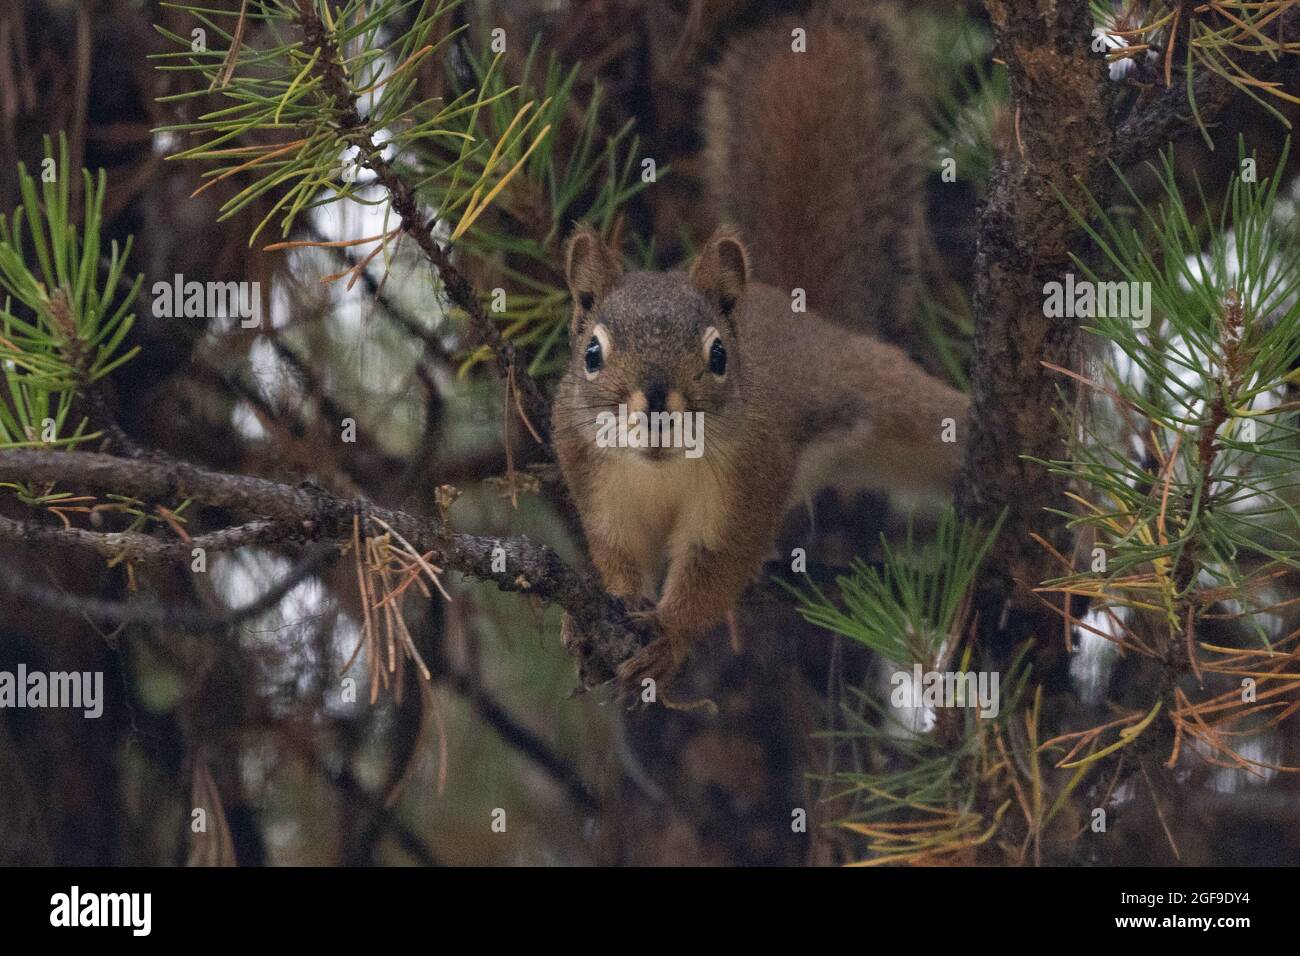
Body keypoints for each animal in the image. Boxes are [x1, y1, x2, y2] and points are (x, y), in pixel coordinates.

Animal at [546, 0, 967, 686]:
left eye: (718, 355)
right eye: (591, 354)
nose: (657, 406)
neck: (662, 471)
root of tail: (802, 313)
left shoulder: (750, 481)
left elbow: (713, 570)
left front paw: (670, 632)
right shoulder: (592, 477)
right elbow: (617, 556)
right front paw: (595, 621)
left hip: (889, 400)